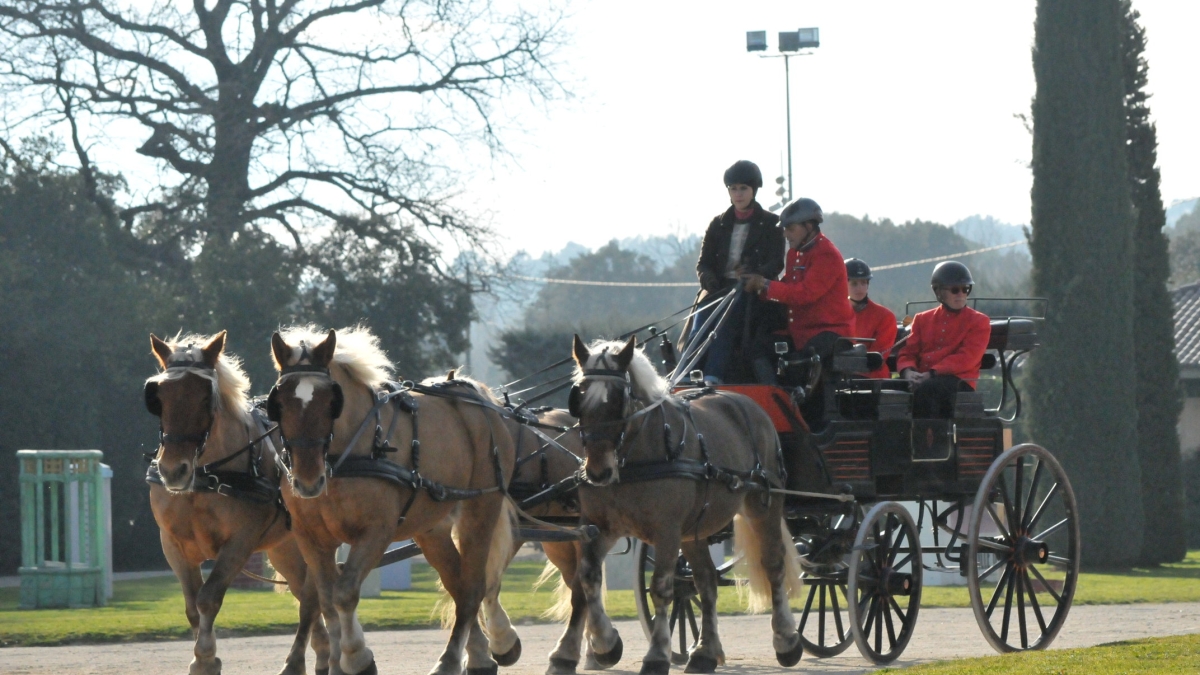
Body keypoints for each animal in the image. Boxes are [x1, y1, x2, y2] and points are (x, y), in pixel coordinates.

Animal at [144, 329, 328, 672]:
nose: (173, 470)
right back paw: (323, 652)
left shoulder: (240, 542)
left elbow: (208, 597)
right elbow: (191, 606)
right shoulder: (172, 545)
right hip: (284, 548)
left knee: (311, 598)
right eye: (158, 397)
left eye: (206, 397)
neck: (206, 477)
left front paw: (204, 658)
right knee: (305, 592)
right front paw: (205, 657)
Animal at [270, 326, 513, 672]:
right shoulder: (311, 536)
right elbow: (325, 600)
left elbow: (343, 593)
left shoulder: (376, 531)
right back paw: (479, 653)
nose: (307, 480)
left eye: (332, 401)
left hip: (480, 510)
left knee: (473, 586)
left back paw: (453, 659)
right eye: (279, 401)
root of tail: (481, 397)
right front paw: (337, 661)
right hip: (431, 527)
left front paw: (356, 657)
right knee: (457, 582)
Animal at [561, 333, 806, 667]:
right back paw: (705, 651)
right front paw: (601, 644)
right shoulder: (600, 527)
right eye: (579, 399)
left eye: (618, 401)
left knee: (773, 564)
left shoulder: (666, 531)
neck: (634, 458)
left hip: (762, 506)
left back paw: (785, 639)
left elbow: (661, 587)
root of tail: (747, 403)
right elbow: (586, 580)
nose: (598, 471)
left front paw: (656, 653)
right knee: (706, 580)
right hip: (694, 530)